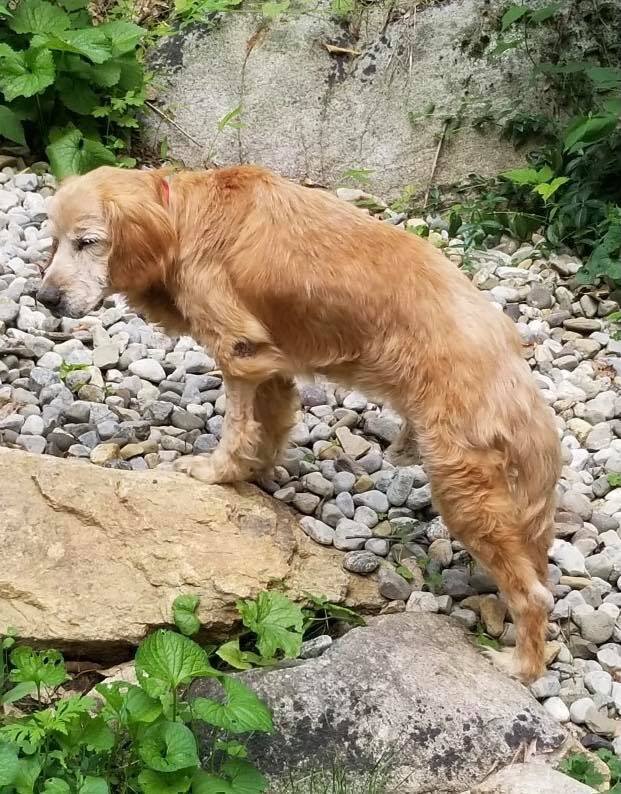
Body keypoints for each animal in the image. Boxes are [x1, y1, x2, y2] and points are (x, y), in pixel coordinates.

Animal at [38, 166, 560, 680]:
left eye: (87, 242)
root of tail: (513, 368)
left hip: (462, 488)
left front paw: (216, 472)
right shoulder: (271, 365)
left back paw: (521, 666)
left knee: (534, 596)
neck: (181, 215)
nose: (44, 298)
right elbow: (269, 428)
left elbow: (237, 427)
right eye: (56, 241)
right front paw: (255, 474)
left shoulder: (238, 350)